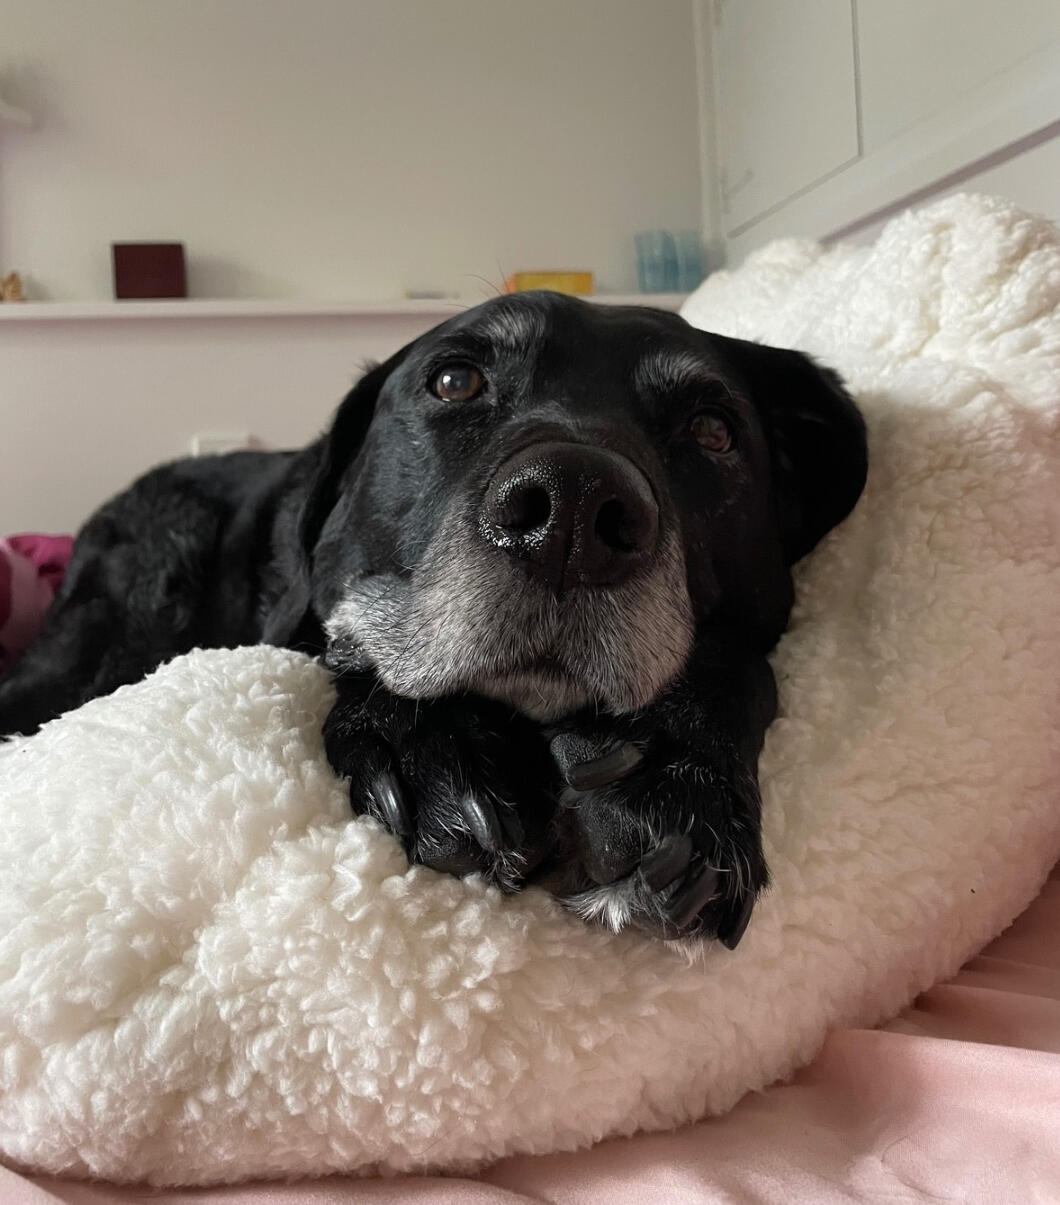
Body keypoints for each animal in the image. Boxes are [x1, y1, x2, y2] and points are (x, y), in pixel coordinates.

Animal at [0, 291, 867, 946]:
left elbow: (741, 663)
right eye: (455, 380)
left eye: (713, 430)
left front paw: (673, 768)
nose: (572, 512)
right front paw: (429, 738)